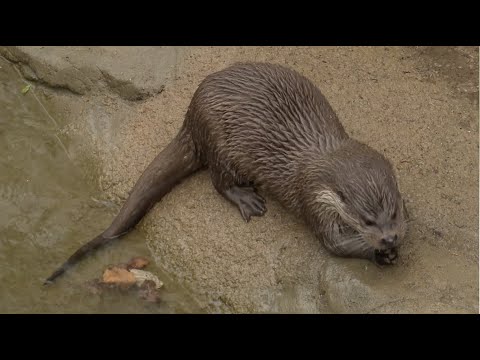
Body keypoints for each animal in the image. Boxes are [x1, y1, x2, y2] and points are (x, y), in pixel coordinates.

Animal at [43, 63, 406, 286]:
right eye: (367, 220)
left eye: (392, 213)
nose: (389, 238)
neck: (322, 160)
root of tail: (191, 115)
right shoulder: (313, 199)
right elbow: (334, 243)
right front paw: (381, 254)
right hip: (221, 145)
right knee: (218, 182)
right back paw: (246, 199)